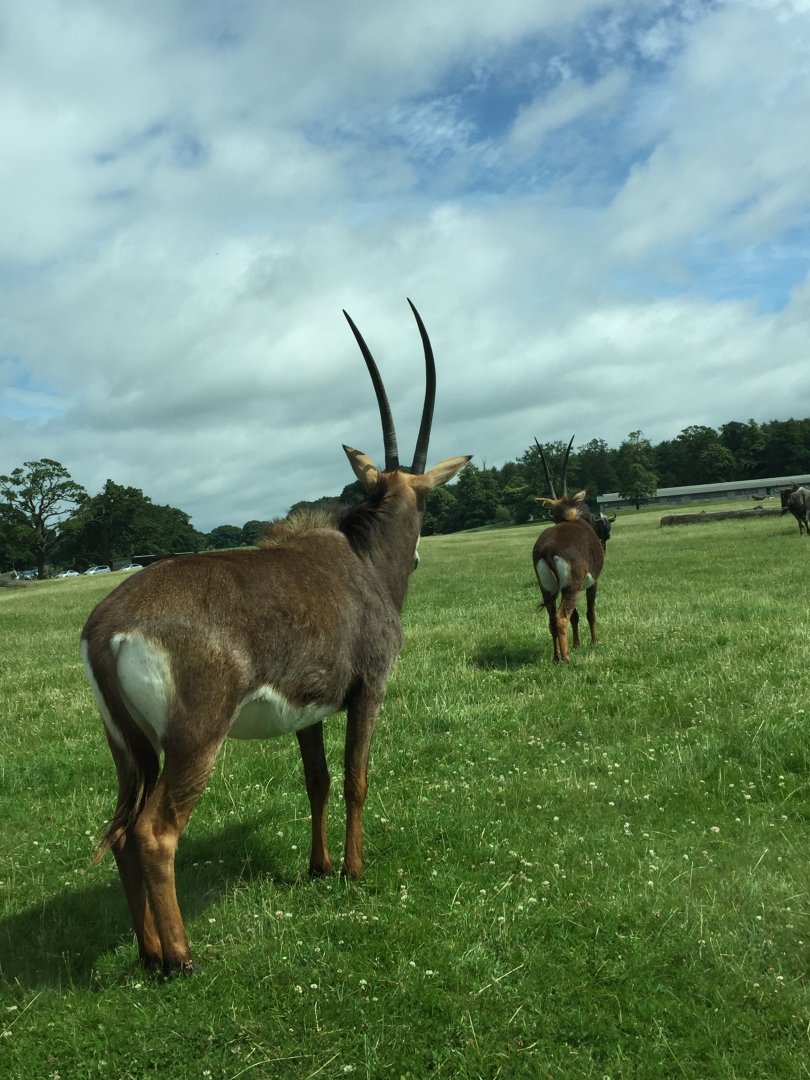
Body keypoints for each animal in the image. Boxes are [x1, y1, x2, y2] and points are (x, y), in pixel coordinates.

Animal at [81, 300, 469, 975]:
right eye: (425, 503)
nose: (421, 554)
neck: (361, 560)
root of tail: (107, 628)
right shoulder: (369, 691)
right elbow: (356, 777)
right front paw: (352, 870)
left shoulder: (308, 712)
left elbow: (317, 781)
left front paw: (317, 868)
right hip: (194, 742)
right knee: (155, 833)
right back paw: (181, 958)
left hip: (131, 752)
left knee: (124, 831)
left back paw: (150, 954)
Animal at [532, 436, 608, 663]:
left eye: (551, 513)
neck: (573, 518)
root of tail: (548, 549)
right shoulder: (593, 582)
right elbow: (590, 611)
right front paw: (594, 642)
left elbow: (576, 616)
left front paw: (577, 643)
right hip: (571, 587)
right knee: (561, 617)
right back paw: (566, 659)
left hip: (547, 588)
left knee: (551, 619)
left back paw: (556, 657)